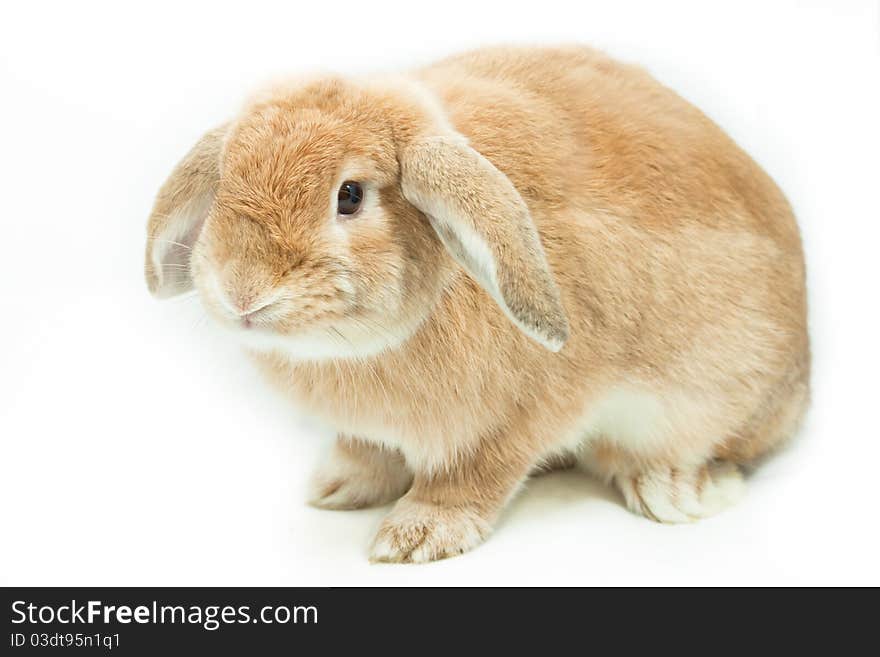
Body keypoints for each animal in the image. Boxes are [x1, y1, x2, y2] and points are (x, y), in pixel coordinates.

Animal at [144, 46, 812, 560]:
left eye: (350, 195)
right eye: (225, 183)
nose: (242, 291)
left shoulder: (529, 412)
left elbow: (476, 472)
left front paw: (419, 533)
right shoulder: (372, 430)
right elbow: (366, 452)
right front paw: (339, 487)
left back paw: (674, 490)